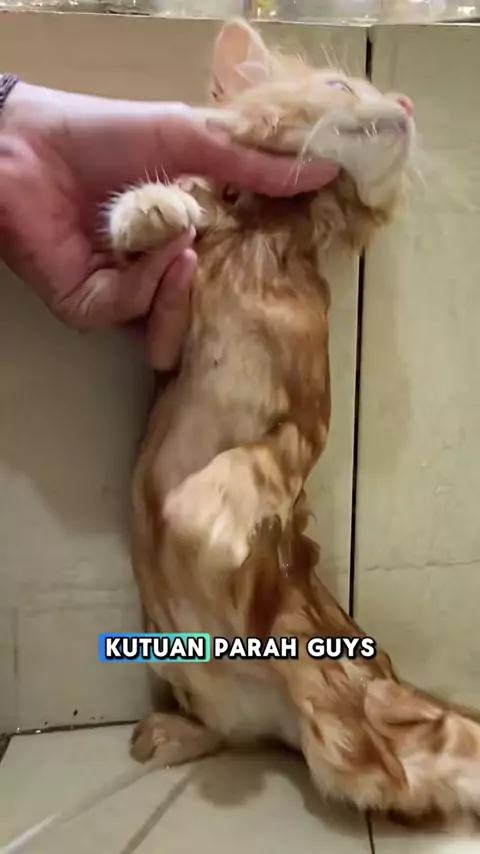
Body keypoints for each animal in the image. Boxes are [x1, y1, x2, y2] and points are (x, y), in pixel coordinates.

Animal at [108, 18, 480, 825]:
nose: (407, 101)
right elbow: (175, 227)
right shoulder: (170, 334)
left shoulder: (306, 423)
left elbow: (249, 466)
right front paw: (151, 211)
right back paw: (169, 733)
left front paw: (209, 517)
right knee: (229, 735)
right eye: (341, 85)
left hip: (358, 748)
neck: (267, 236)